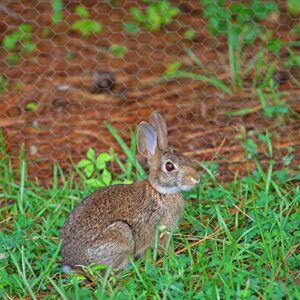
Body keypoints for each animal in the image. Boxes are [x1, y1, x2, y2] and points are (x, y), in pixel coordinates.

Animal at [60, 111, 199, 270]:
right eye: (169, 167)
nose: (196, 178)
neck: (159, 192)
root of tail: (71, 263)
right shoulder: (157, 232)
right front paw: (168, 259)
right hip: (122, 234)